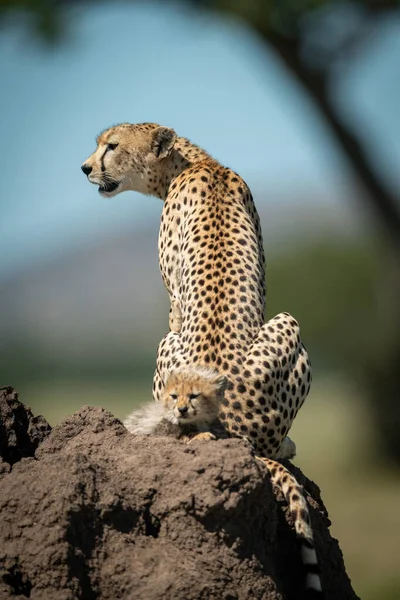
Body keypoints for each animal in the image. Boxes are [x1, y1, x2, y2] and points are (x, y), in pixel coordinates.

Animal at [81, 123, 322, 596]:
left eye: (111, 146)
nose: (84, 167)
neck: (194, 162)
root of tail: (235, 432)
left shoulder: (174, 303)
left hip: (253, 328)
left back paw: (283, 444)